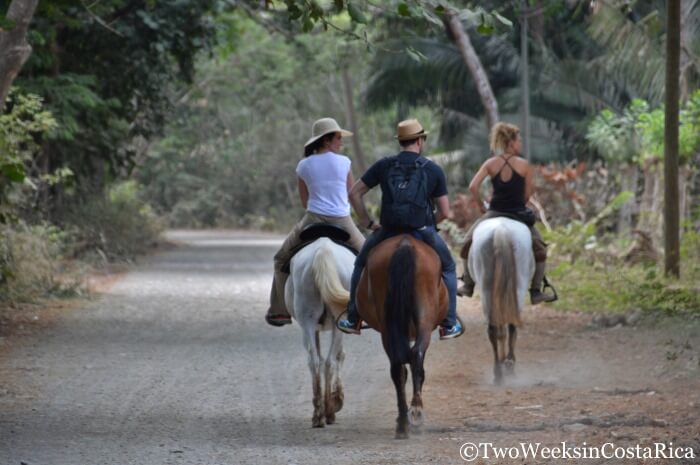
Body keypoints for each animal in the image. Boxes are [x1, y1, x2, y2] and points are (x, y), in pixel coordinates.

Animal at [284, 237, 352, 426]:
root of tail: (323, 250)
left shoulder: (314, 328)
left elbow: (321, 357)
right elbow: (340, 355)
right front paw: (338, 397)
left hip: (307, 319)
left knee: (315, 361)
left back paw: (318, 414)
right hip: (336, 323)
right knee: (329, 361)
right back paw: (328, 412)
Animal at [356, 234, 448, 436]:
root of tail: (405, 244)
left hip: (391, 325)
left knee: (400, 365)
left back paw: (407, 420)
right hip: (423, 318)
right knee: (413, 357)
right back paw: (412, 415)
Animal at [470, 216, 536, 382]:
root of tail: (501, 230)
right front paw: (506, 361)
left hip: (487, 288)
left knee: (495, 329)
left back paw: (499, 373)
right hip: (518, 286)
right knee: (510, 326)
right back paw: (507, 367)